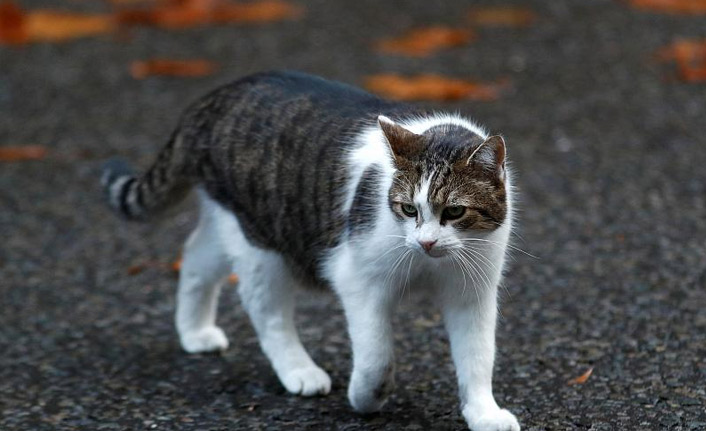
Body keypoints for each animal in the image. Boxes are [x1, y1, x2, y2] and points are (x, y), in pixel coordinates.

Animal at [102, 71, 520, 431]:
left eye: (454, 212)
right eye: (408, 209)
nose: (426, 242)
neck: (428, 263)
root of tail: (216, 98)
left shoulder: (472, 294)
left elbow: (478, 356)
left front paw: (484, 413)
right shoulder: (358, 280)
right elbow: (377, 356)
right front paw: (366, 397)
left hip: (232, 220)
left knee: (194, 258)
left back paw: (194, 332)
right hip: (261, 244)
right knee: (266, 312)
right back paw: (298, 371)